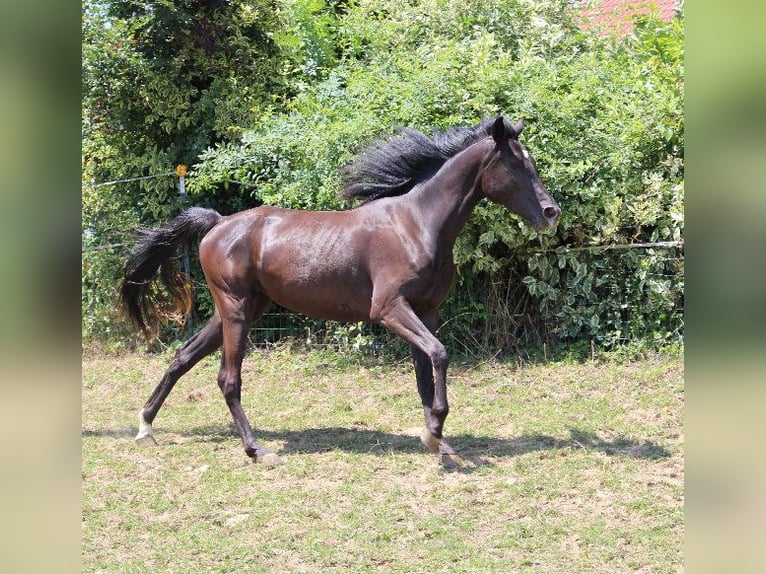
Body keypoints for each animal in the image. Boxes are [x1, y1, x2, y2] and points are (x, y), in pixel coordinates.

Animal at [121, 117, 564, 468]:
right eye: (516, 163)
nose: (550, 213)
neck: (417, 225)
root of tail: (217, 222)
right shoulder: (390, 309)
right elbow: (440, 354)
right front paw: (435, 431)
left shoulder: (427, 311)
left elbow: (425, 374)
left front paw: (438, 441)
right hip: (236, 310)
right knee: (228, 378)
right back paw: (256, 449)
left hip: (241, 309)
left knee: (182, 357)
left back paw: (145, 426)